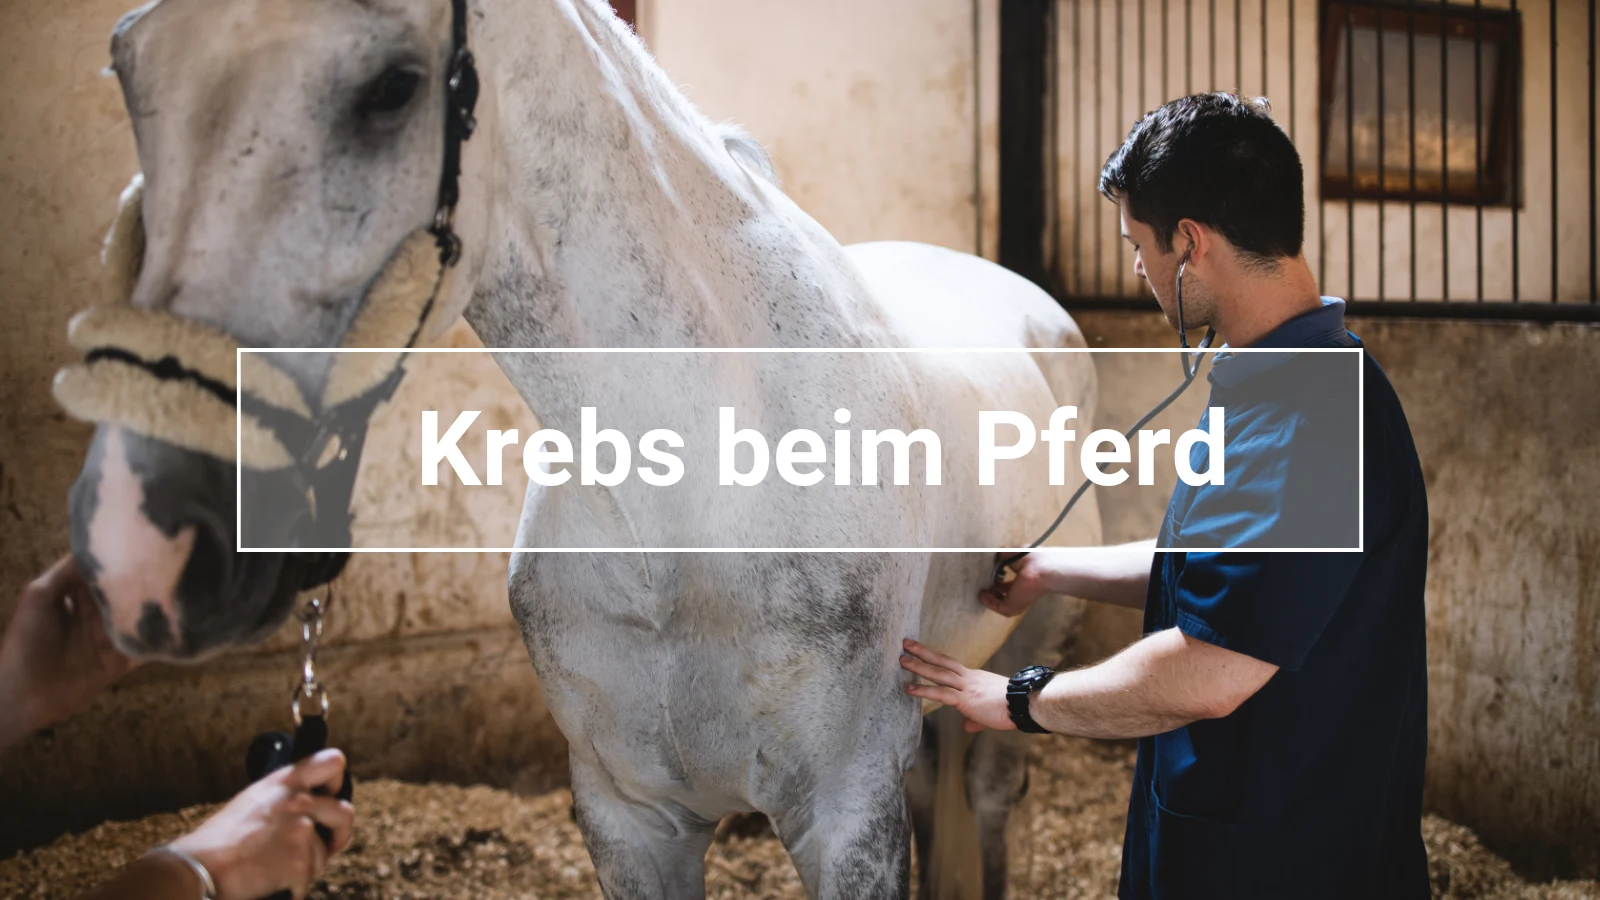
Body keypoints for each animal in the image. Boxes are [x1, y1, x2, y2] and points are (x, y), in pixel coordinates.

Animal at [61, 0, 1101, 896]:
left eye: (392, 86)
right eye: (127, 64)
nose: (140, 546)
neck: (692, 502)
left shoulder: (845, 816)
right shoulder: (629, 820)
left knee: (987, 794)